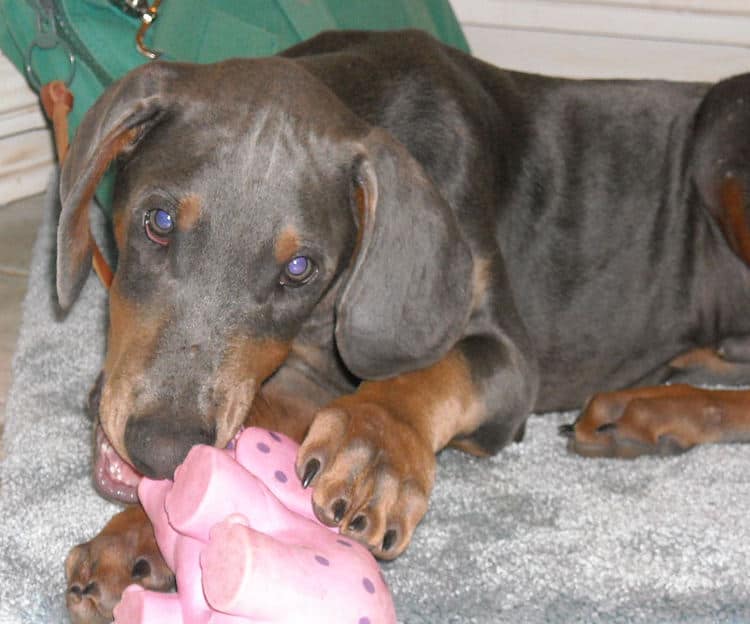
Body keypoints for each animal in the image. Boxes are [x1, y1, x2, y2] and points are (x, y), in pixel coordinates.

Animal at [60, 29, 750, 624]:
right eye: (158, 221)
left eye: (299, 269)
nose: (161, 450)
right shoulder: (300, 372)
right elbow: (253, 416)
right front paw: (138, 534)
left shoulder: (505, 357)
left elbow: (434, 370)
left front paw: (377, 448)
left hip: (720, 131)